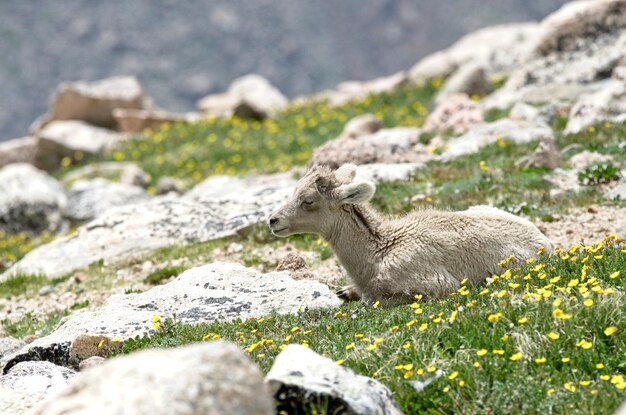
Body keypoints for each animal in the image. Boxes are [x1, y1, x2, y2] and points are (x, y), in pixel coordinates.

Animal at [268, 165, 552, 306]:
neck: (378, 252)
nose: (273, 220)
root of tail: (544, 241)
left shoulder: (437, 286)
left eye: (308, 200)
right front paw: (346, 292)